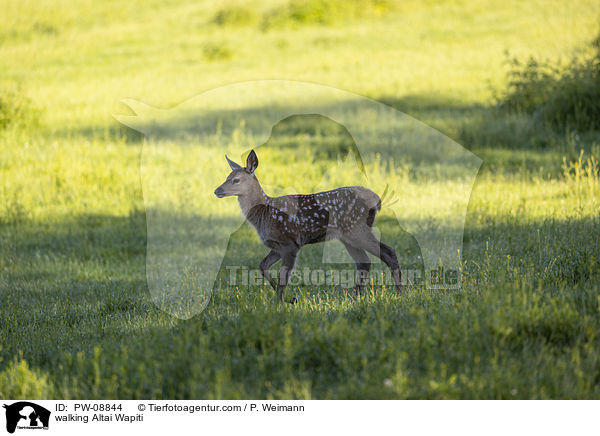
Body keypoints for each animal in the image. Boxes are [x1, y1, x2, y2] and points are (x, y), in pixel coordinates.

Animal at [213, 152, 400, 302]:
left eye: (236, 180)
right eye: (227, 176)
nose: (216, 190)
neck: (264, 212)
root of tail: (376, 199)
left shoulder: (291, 242)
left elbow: (283, 276)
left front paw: (280, 303)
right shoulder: (277, 246)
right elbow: (262, 265)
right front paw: (288, 299)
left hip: (357, 228)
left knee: (388, 252)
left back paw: (400, 293)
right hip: (348, 236)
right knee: (364, 262)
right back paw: (356, 296)